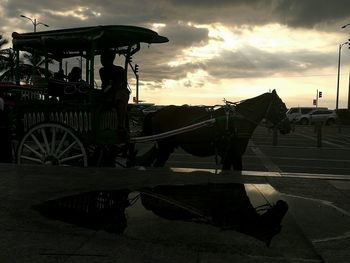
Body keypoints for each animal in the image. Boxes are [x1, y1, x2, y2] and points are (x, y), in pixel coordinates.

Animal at [139, 89, 290, 170]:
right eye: (282, 107)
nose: (288, 127)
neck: (237, 120)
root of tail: (157, 112)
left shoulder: (229, 155)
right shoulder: (233, 154)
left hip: (165, 147)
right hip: (165, 146)